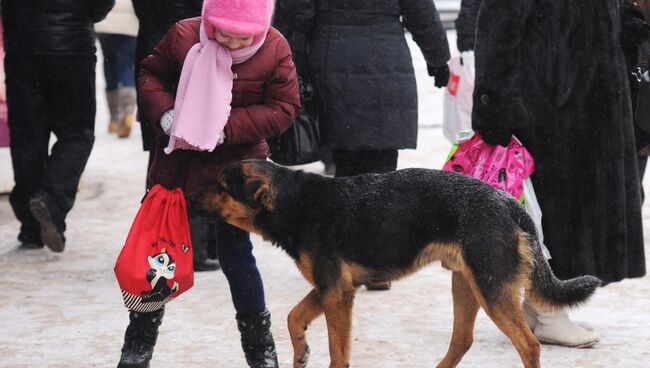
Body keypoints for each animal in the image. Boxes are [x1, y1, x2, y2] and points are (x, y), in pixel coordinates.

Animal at [190, 160, 600, 368]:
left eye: (222, 187)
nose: (189, 197)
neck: (296, 202)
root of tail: (509, 203)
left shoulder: (336, 293)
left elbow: (338, 353)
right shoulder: (331, 288)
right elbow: (293, 318)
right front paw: (301, 351)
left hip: (490, 288)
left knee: (528, 346)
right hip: (468, 284)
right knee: (462, 340)